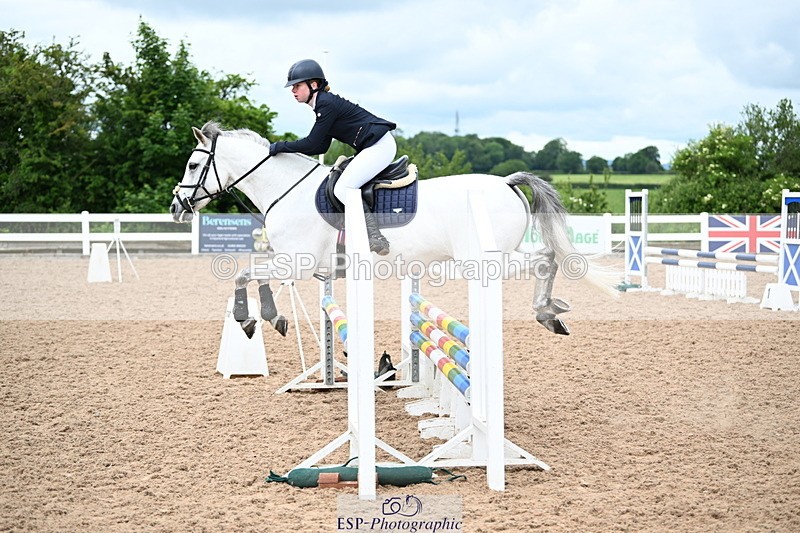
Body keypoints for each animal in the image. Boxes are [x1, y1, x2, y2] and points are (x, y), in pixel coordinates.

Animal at [170, 121, 619, 336]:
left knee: (544, 259)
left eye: (193, 165)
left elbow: (246, 275)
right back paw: (549, 312)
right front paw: (266, 318)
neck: (287, 188)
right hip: (501, 252)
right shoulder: (298, 266)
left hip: (485, 260)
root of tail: (507, 182)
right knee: (546, 256)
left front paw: (252, 318)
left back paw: (546, 310)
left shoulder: (295, 263)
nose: (176, 206)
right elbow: (252, 274)